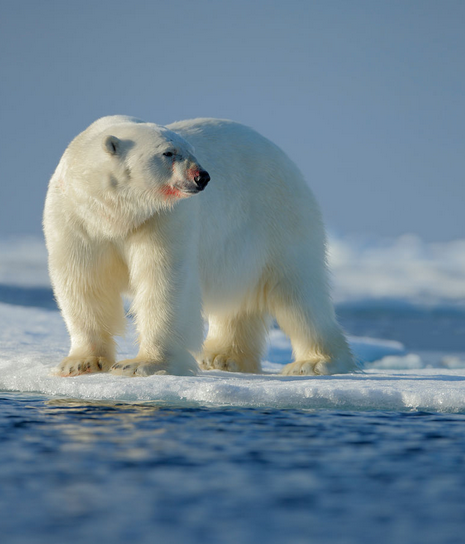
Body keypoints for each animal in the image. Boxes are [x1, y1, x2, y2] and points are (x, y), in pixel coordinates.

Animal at [43, 116, 356, 378]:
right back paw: (223, 357)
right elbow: (83, 281)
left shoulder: (162, 219)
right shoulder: (76, 218)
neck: (116, 213)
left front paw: (142, 364)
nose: (202, 176)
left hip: (280, 217)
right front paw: (81, 362)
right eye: (168, 153)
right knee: (239, 300)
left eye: (192, 150)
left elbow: (163, 281)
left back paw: (314, 362)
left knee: (298, 293)